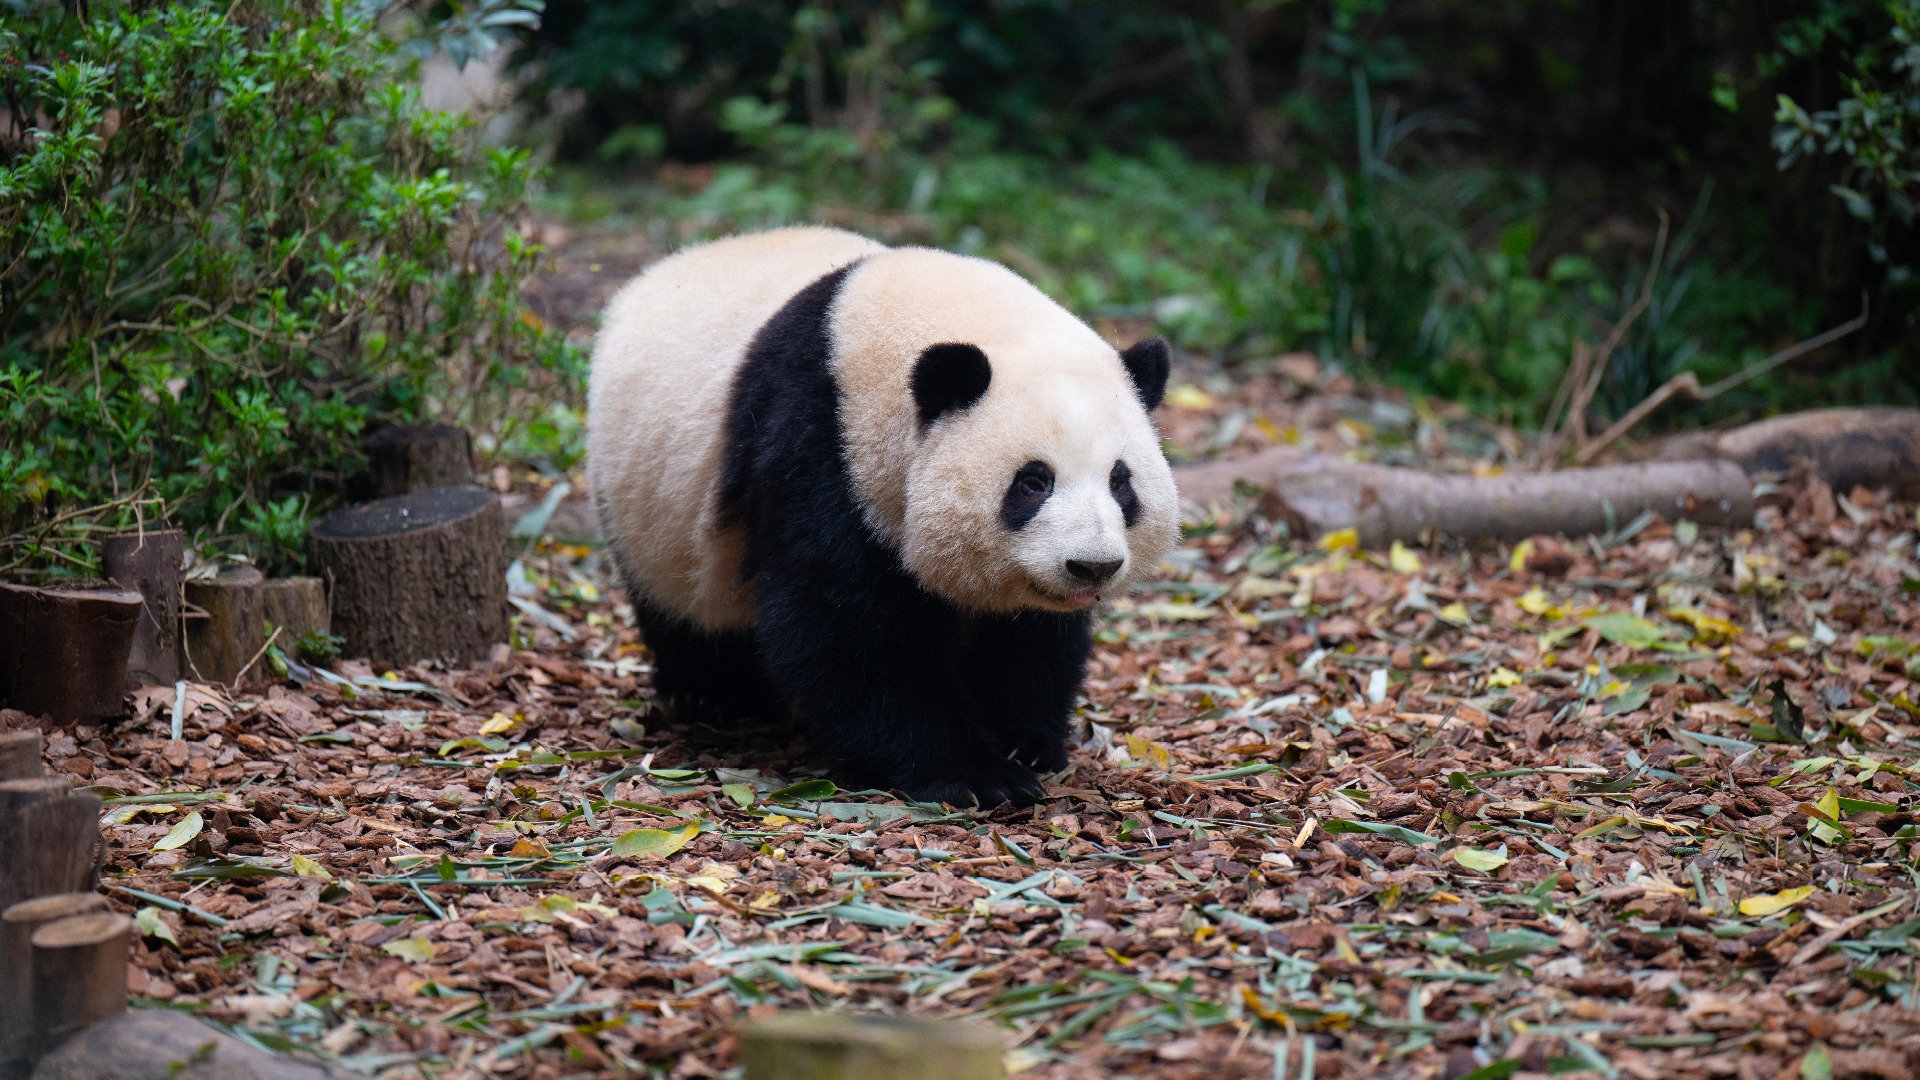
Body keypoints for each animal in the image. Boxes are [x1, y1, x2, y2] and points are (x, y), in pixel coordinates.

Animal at [591, 224, 1175, 799]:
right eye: (1033, 482)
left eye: (1120, 482)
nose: (1092, 566)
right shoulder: (820, 447)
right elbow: (847, 630)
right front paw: (975, 774)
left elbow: (1029, 638)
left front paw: (1024, 742)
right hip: (648, 507)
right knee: (687, 611)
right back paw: (718, 696)